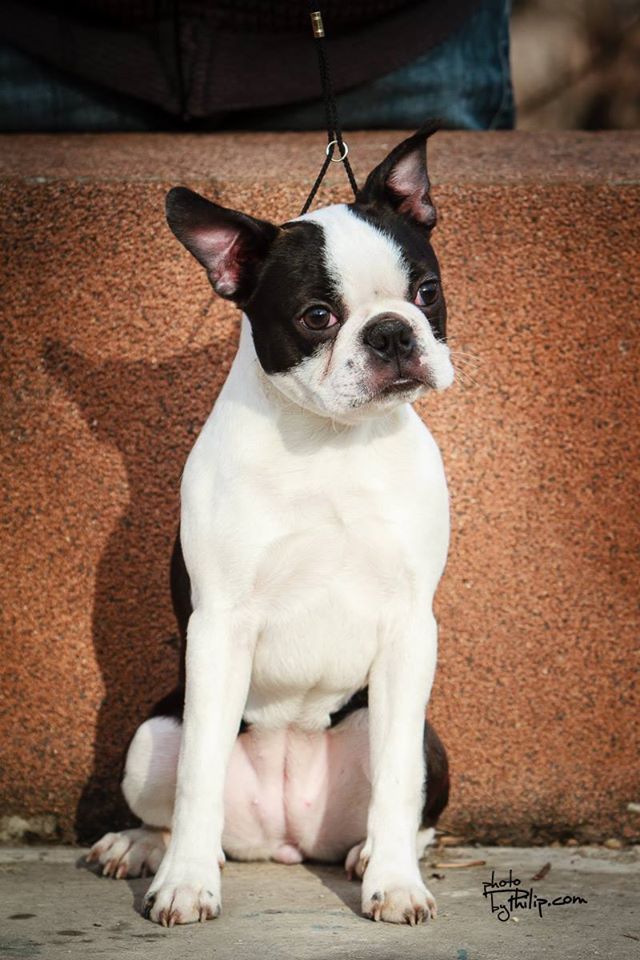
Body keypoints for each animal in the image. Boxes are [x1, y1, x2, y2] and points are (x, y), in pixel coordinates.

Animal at [87, 126, 454, 927]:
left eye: (426, 292)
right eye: (318, 316)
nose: (391, 333)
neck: (330, 443)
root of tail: (289, 838)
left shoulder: (411, 628)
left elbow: (395, 781)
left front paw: (395, 882)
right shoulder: (219, 626)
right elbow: (197, 778)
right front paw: (187, 884)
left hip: (428, 741)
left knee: (410, 796)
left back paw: (371, 854)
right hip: (150, 737)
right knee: (174, 798)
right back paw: (141, 846)